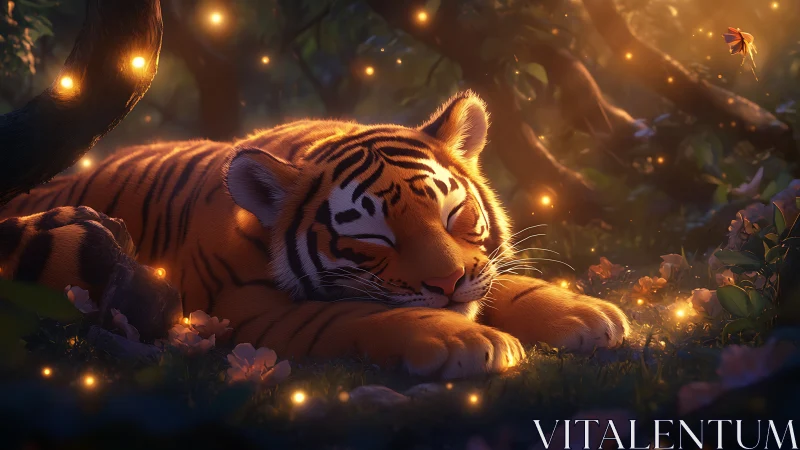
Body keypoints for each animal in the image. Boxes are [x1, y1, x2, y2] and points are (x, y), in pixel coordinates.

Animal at [0, 91, 628, 379]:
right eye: (374, 237)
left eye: (452, 215)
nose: (447, 284)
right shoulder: (245, 310)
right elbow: (353, 313)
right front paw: (468, 339)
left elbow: (501, 280)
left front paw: (585, 313)